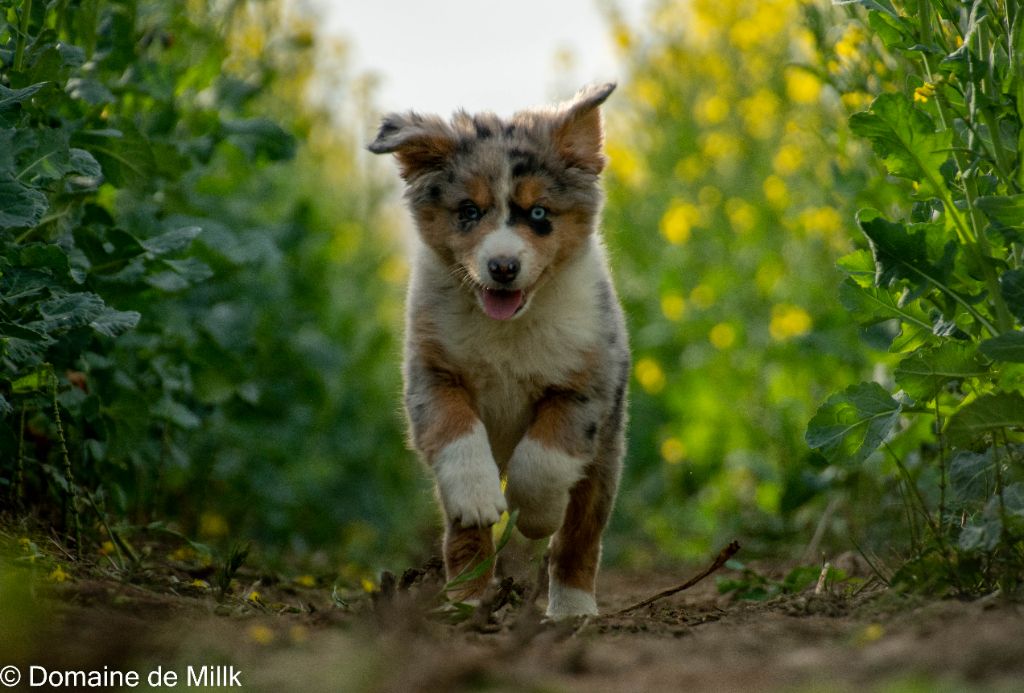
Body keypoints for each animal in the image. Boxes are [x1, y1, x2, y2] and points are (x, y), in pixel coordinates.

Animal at [368, 82, 622, 618]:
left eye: (539, 214)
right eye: (468, 212)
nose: (502, 267)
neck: (508, 328)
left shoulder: (585, 385)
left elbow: (543, 460)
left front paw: (536, 514)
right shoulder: (432, 375)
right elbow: (457, 435)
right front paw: (479, 497)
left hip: (605, 459)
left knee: (580, 536)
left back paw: (573, 607)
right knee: (465, 539)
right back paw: (466, 601)